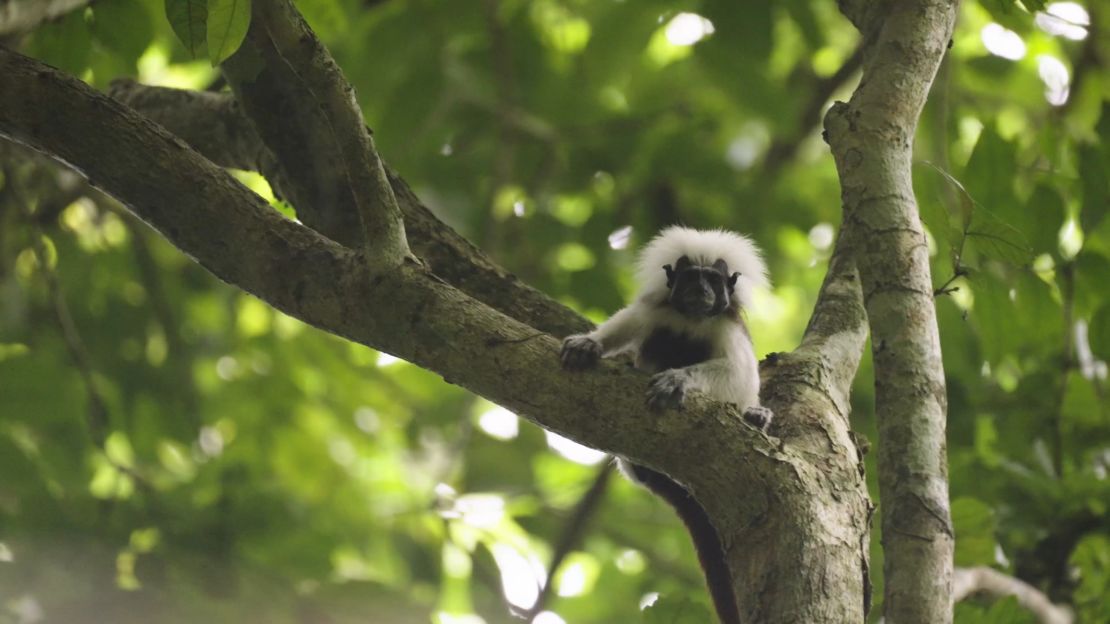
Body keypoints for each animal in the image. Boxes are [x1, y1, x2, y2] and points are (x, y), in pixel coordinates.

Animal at [559, 225, 768, 621]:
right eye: (690, 277)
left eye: (712, 280)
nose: (700, 292)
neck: (691, 320)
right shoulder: (658, 310)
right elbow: (626, 325)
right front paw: (590, 344)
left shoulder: (726, 327)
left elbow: (737, 374)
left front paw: (677, 380)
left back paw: (755, 417)